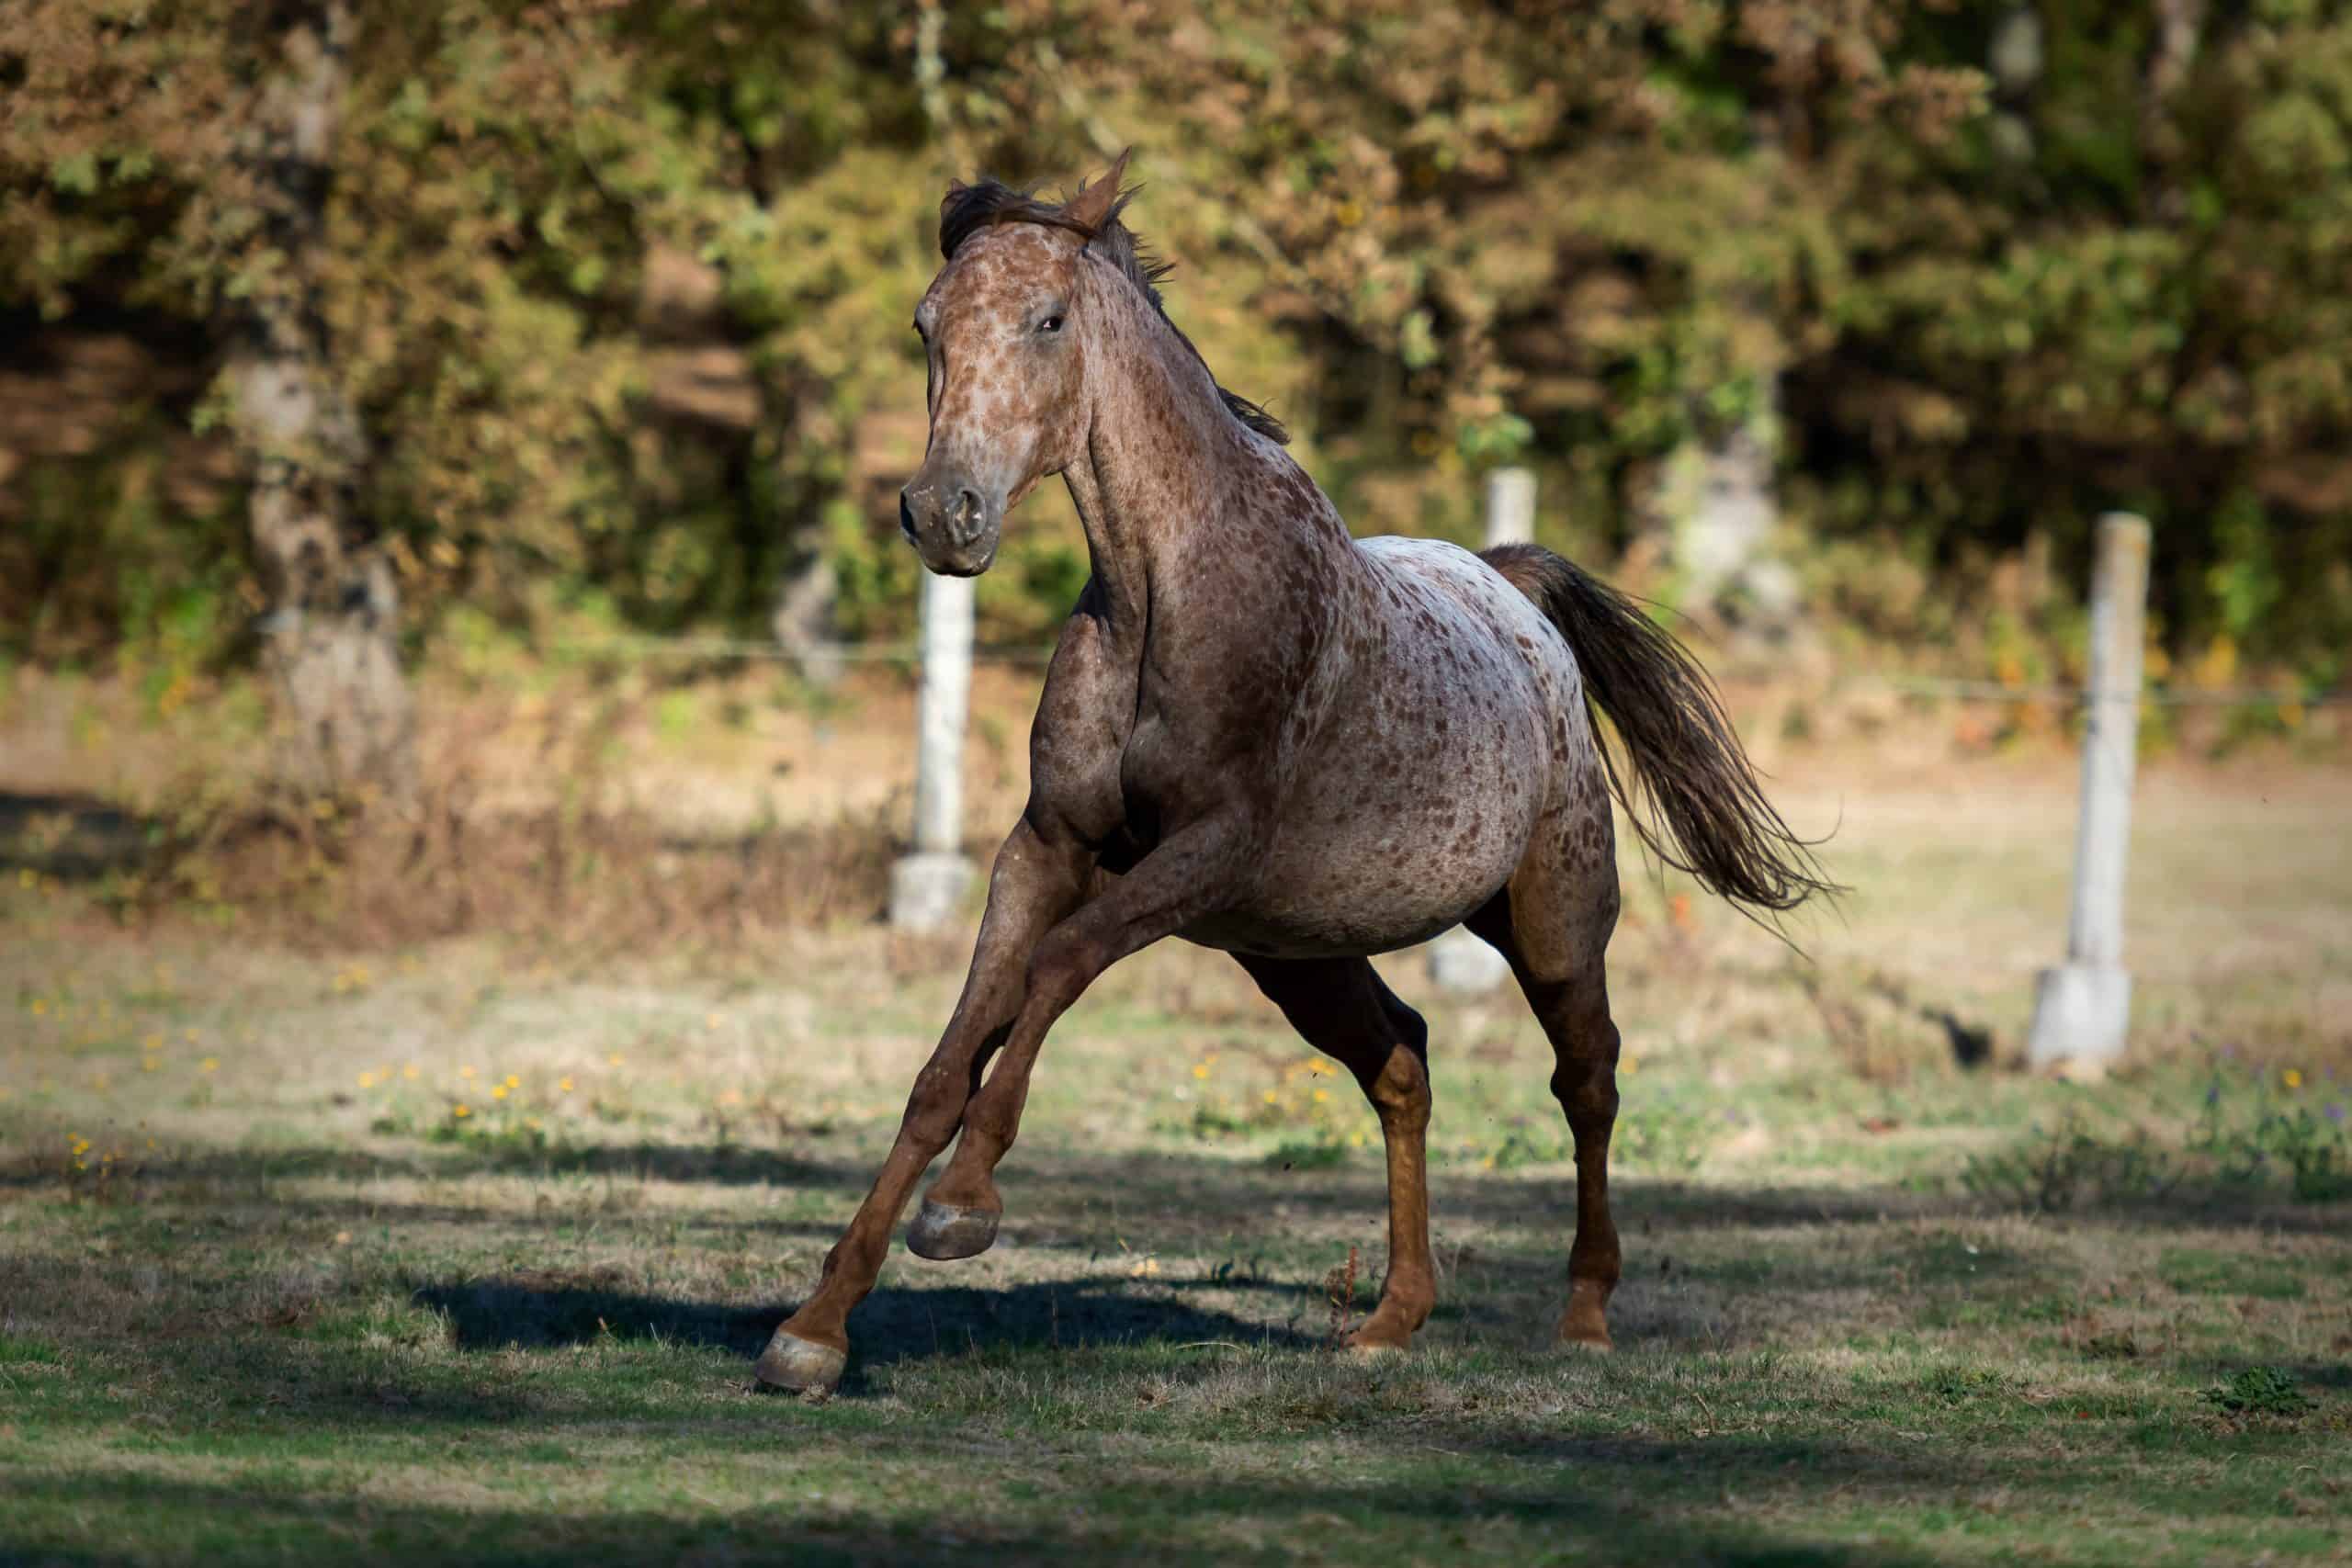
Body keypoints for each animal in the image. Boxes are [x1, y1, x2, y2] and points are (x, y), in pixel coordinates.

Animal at [762, 152, 1825, 1392]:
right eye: (925, 323)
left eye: (1049, 318)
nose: (944, 515)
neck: (1167, 596)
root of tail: (1512, 591)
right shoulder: (1048, 847)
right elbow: (948, 1057)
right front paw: (814, 1329)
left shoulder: (1206, 853)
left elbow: (1056, 969)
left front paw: (963, 1208)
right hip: (1297, 956)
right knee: (1403, 1063)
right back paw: (1390, 1319)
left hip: (1553, 920)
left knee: (1588, 1079)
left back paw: (1583, 1315)